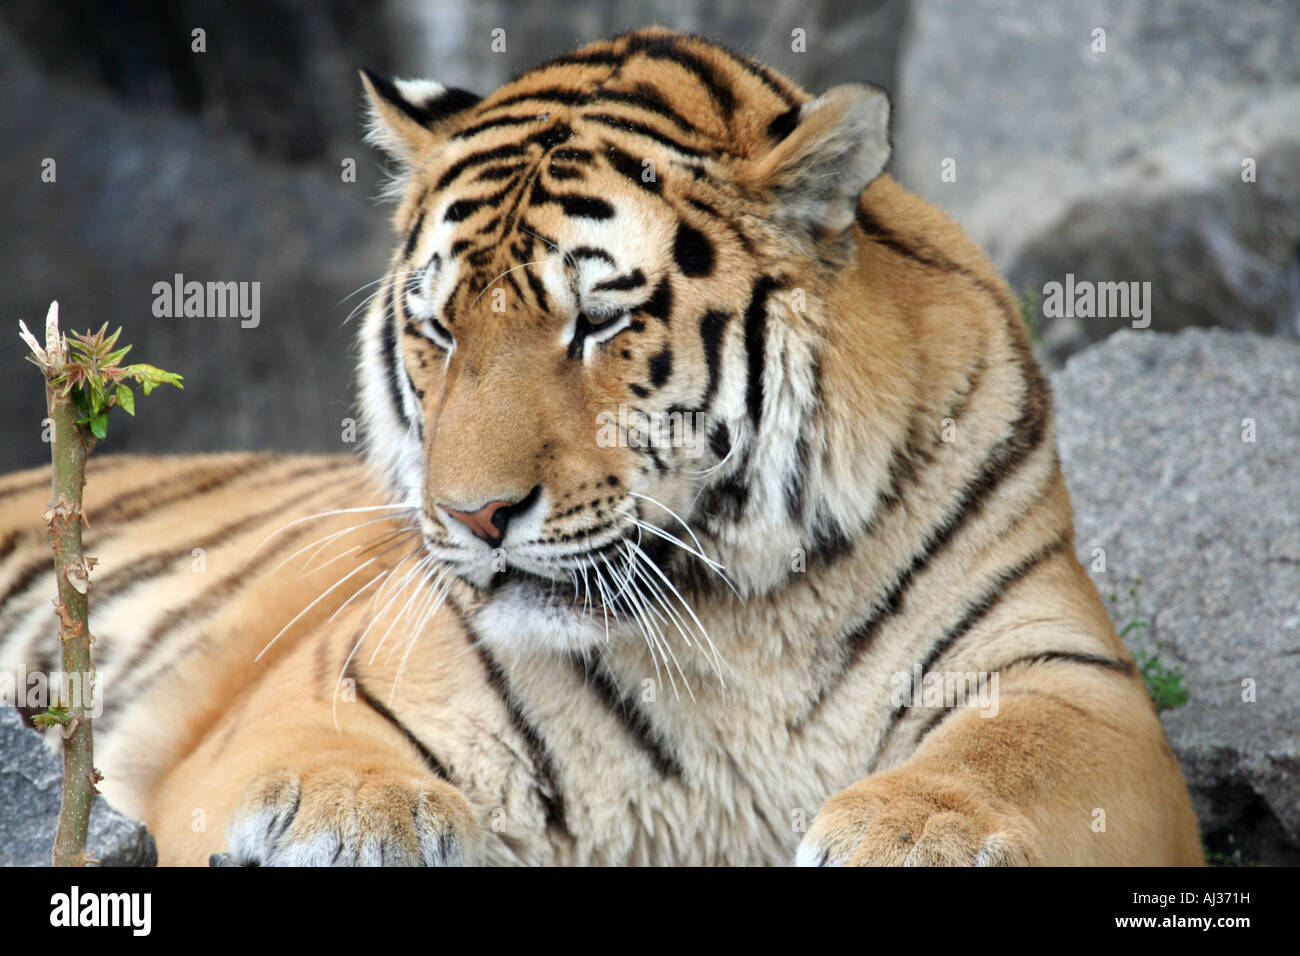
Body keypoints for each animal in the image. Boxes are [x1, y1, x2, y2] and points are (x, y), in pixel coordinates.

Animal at [0, 29, 1201, 868]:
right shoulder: (313, 693)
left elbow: (1017, 754)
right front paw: (349, 815)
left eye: (597, 322)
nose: (474, 517)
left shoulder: (1072, 675)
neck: (740, 608)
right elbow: (313, 754)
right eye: (440, 329)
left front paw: (919, 833)